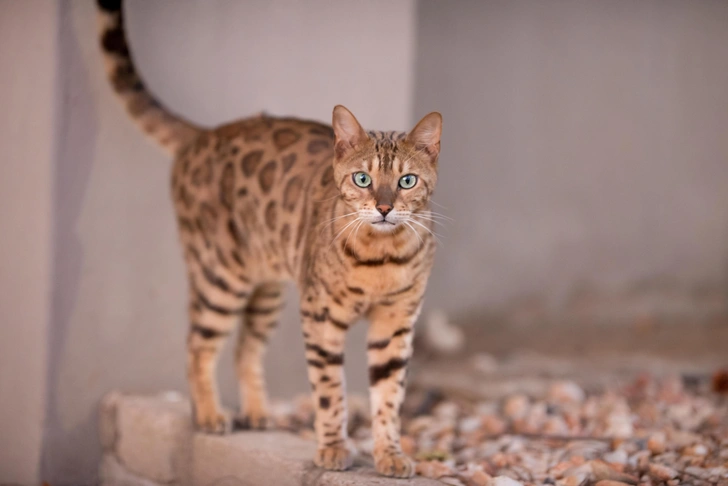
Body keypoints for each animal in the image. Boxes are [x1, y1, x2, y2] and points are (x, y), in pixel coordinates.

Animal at [99, 0, 440, 478]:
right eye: (362, 178)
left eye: (407, 181)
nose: (385, 208)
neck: (380, 259)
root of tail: (204, 133)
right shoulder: (320, 316)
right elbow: (329, 391)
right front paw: (333, 449)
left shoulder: (396, 323)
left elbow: (389, 398)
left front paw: (390, 454)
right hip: (218, 277)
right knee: (197, 344)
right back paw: (210, 415)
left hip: (267, 290)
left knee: (244, 348)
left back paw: (257, 413)